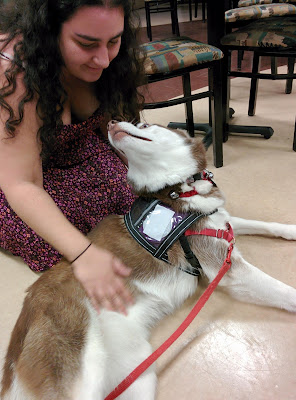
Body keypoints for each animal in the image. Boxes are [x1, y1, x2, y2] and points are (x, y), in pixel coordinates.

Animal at [2, 122, 296, 400]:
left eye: (143, 125)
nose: (110, 122)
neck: (177, 190)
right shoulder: (224, 266)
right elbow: (283, 292)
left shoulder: (221, 223)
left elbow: (262, 225)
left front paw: (291, 230)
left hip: (137, 372)